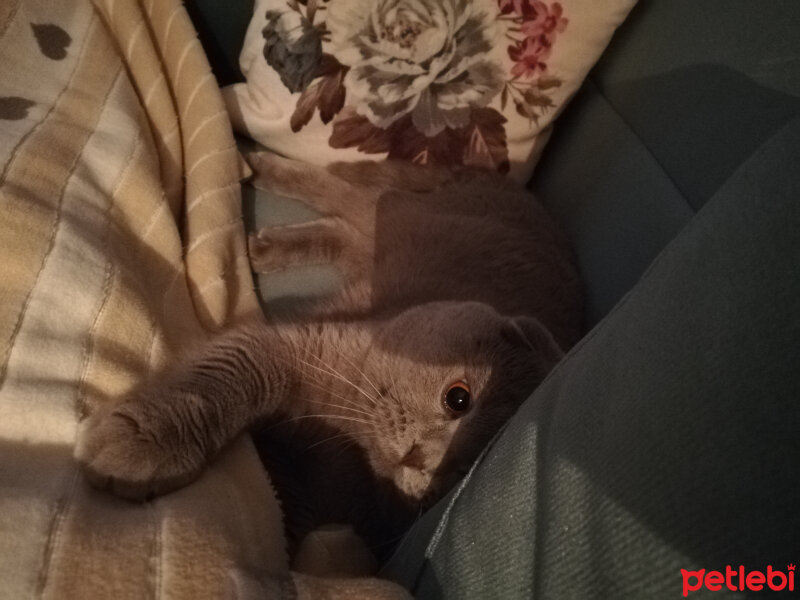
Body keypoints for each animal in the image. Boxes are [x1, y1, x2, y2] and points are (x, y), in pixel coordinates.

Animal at [75, 154, 580, 596]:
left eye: (463, 471)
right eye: (458, 398)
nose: (421, 460)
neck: (348, 437)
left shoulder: (319, 495)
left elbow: (287, 522)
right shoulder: (297, 348)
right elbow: (226, 377)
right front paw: (144, 442)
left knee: (345, 225)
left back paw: (266, 244)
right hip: (403, 210)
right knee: (342, 192)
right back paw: (262, 172)